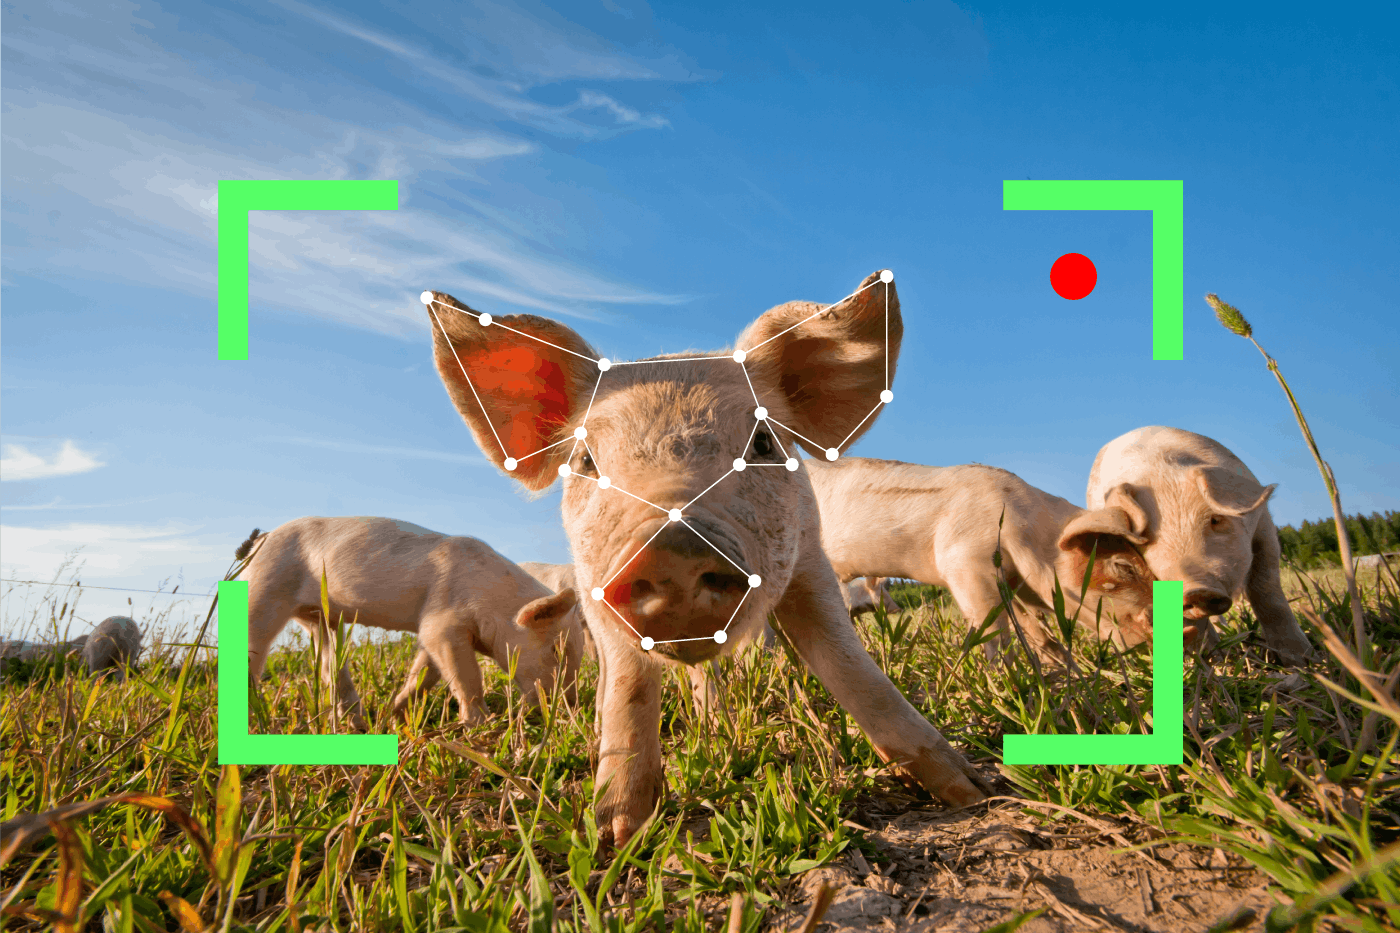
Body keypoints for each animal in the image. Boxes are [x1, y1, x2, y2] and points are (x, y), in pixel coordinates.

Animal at [243, 515, 582, 728]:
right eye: (555, 650)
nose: (571, 706)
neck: (494, 600)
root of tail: (262, 538)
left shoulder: (435, 632)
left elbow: (425, 672)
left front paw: (394, 716)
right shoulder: (442, 620)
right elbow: (465, 675)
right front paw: (480, 724)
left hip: (319, 617)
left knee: (329, 663)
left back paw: (359, 722)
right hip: (265, 585)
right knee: (254, 644)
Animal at [420, 268, 991, 840]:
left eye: (763, 443)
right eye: (585, 460)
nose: (671, 547)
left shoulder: (810, 559)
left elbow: (849, 664)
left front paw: (971, 792)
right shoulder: (592, 584)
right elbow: (628, 684)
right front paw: (618, 833)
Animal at [1080, 423, 1310, 661]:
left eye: (1215, 520)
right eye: (1146, 540)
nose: (1196, 590)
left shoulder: (1263, 526)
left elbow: (1266, 589)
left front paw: (1301, 660)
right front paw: (1211, 659)